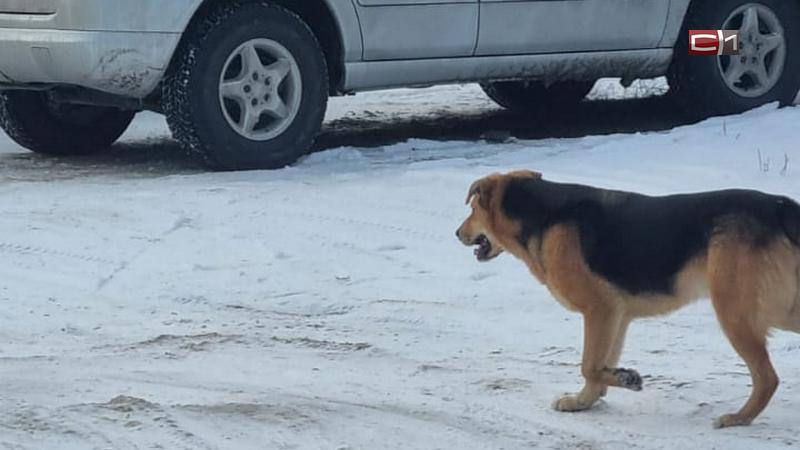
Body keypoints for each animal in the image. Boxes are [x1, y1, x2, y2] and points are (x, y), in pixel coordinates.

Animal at [456, 171, 800, 428]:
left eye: (472, 210)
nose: (457, 233)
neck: (541, 215)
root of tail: (780, 207)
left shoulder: (599, 311)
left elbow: (589, 365)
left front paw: (626, 378)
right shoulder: (616, 317)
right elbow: (596, 368)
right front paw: (584, 401)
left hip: (736, 314)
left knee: (767, 378)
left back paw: (739, 418)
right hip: (773, 308)